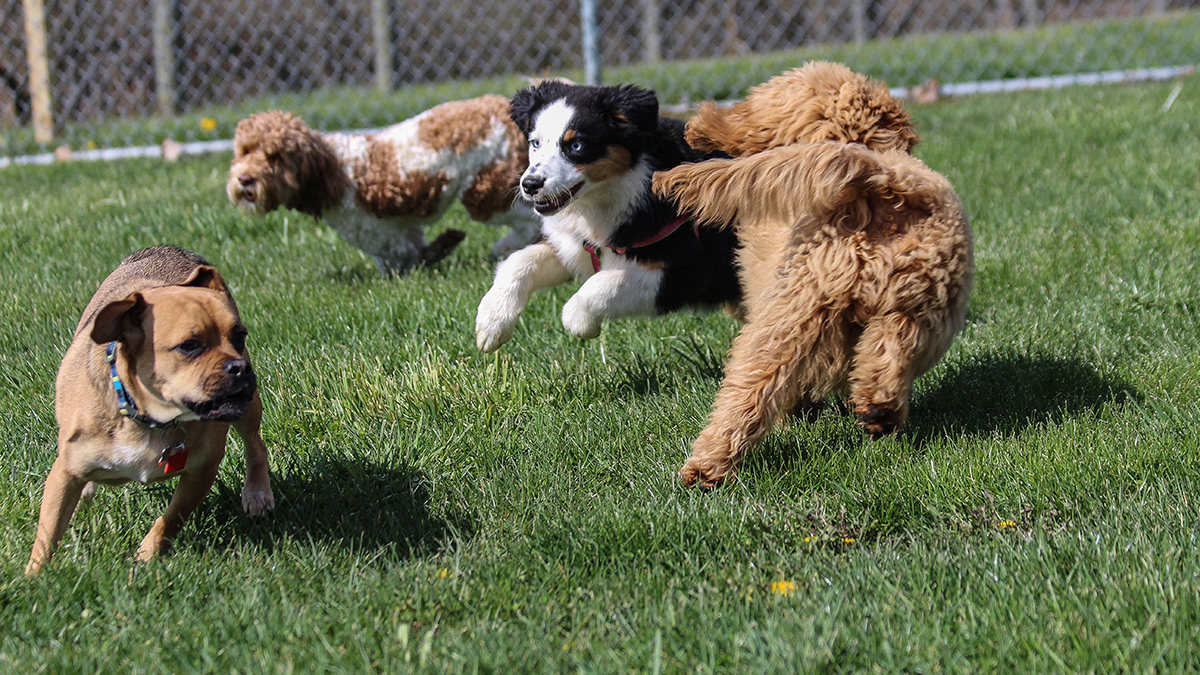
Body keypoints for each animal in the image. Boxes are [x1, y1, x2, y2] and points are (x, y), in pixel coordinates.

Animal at [25, 246, 274, 571]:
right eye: (190, 346)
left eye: (239, 336)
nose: (240, 367)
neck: (150, 418)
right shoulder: (65, 473)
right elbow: (48, 532)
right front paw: (34, 575)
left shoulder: (202, 470)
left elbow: (171, 518)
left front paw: (148, 554)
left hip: (249, 409)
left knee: (255, 445)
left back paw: (257, 493)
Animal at [229, 94, 540, 273]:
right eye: (244, 151)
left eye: (276, 157)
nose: (244, 179)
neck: (332, 171)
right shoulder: (403, 227)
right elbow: (412, 250)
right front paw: (441, 247)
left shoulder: (379, 232)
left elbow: (403, 253)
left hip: (486, 191)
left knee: (528, 222)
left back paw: (503, 248)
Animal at [470, 81, 734, 348]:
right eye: (535, 143)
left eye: (576, 145)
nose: (530, 185)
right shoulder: (571, 244)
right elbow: (518, 261)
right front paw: (491, 321)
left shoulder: (691, 269)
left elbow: (602, 285)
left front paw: (580, 322)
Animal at [657, 61, 974, 482]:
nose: (695, 127)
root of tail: (880, 179)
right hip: (923, 306)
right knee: (890, 352)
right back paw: (879, 411)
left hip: (789, 313)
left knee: (748, 391)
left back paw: (706, 468)